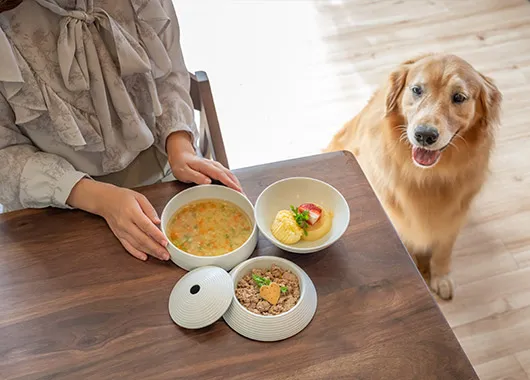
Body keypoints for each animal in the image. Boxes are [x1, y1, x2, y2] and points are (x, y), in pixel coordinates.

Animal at [324, 53, 502, 300]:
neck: (426, 176)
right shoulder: (397, 215)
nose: (424, 135)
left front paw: (440, 277)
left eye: (459, 97)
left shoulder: (454, 215)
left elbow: (443, 250)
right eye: (417, 90)